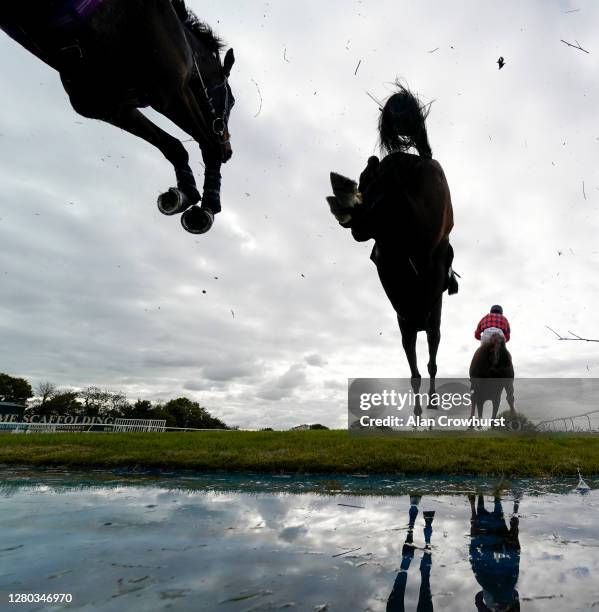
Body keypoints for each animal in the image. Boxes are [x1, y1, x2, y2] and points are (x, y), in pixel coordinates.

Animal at [1, 0, 236, 234]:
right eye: (232, 101)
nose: (229, 151)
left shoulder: (107, 105)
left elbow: (172, 145)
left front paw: (185, 193)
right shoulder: (171, 92)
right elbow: (208, 145)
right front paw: (207, 207)